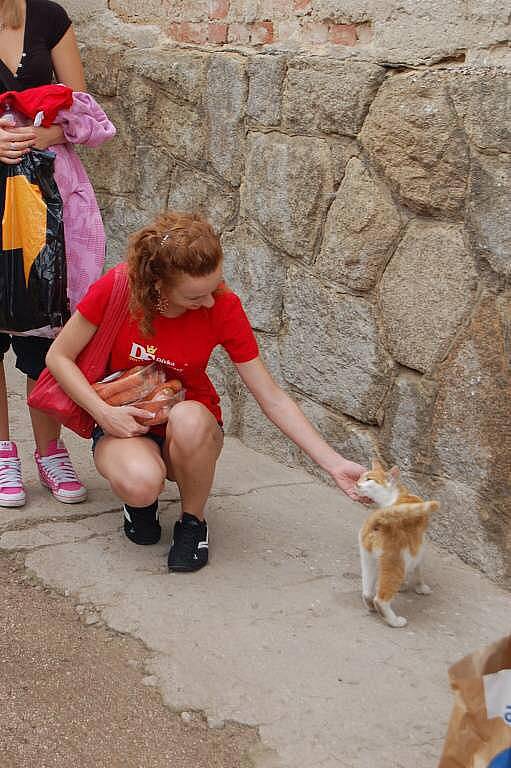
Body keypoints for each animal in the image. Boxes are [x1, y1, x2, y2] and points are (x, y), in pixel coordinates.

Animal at [356, 460, 440, 628]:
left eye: (369, 479)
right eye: (362, 477)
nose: (357, 483)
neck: (397, 496)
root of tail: (377, 520)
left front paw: (404, 586)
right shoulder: (418, 548)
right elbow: (418, 570)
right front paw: (421, 587)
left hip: (368, 559)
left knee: (367, 593)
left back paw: (372, 607)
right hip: (395, 563)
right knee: (381, 599)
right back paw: (394, 620)